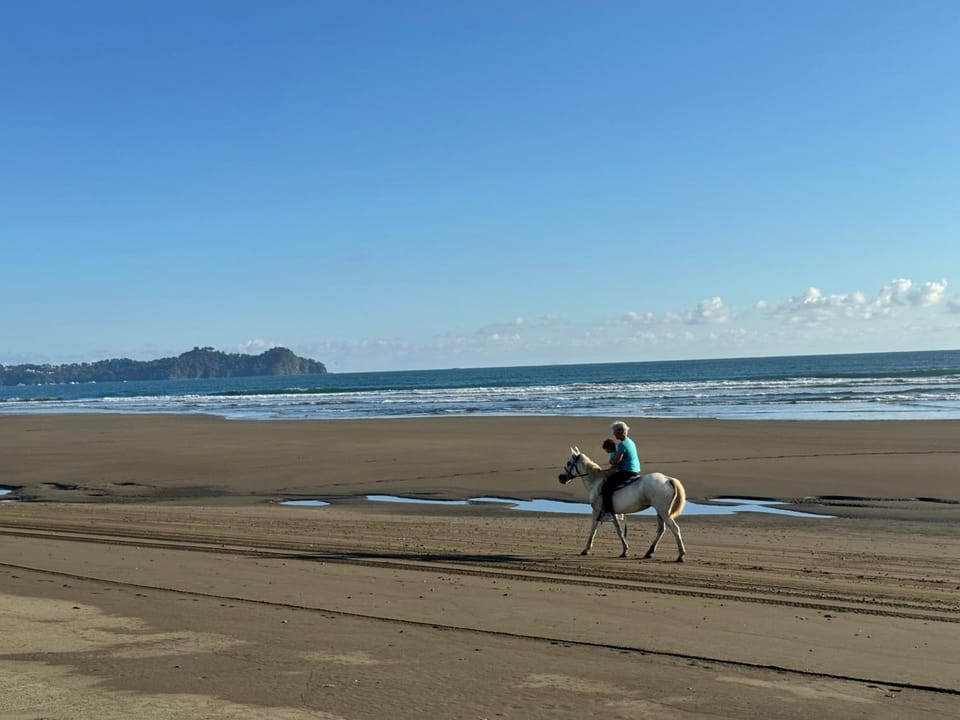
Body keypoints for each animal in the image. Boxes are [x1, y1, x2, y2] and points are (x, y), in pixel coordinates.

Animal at [558, 447, 687, 562]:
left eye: (569, 463)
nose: (560, 478)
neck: (596, 481)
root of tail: (668, 479)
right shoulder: (612, 513)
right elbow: (619, 531)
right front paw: (624, 551)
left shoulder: (597, 510)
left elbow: (593, 530)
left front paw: (586, 549)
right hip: (660, 512)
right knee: (661, 530)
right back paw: (649, 552)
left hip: (664, 513)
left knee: (675, 529)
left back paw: (680, 555)